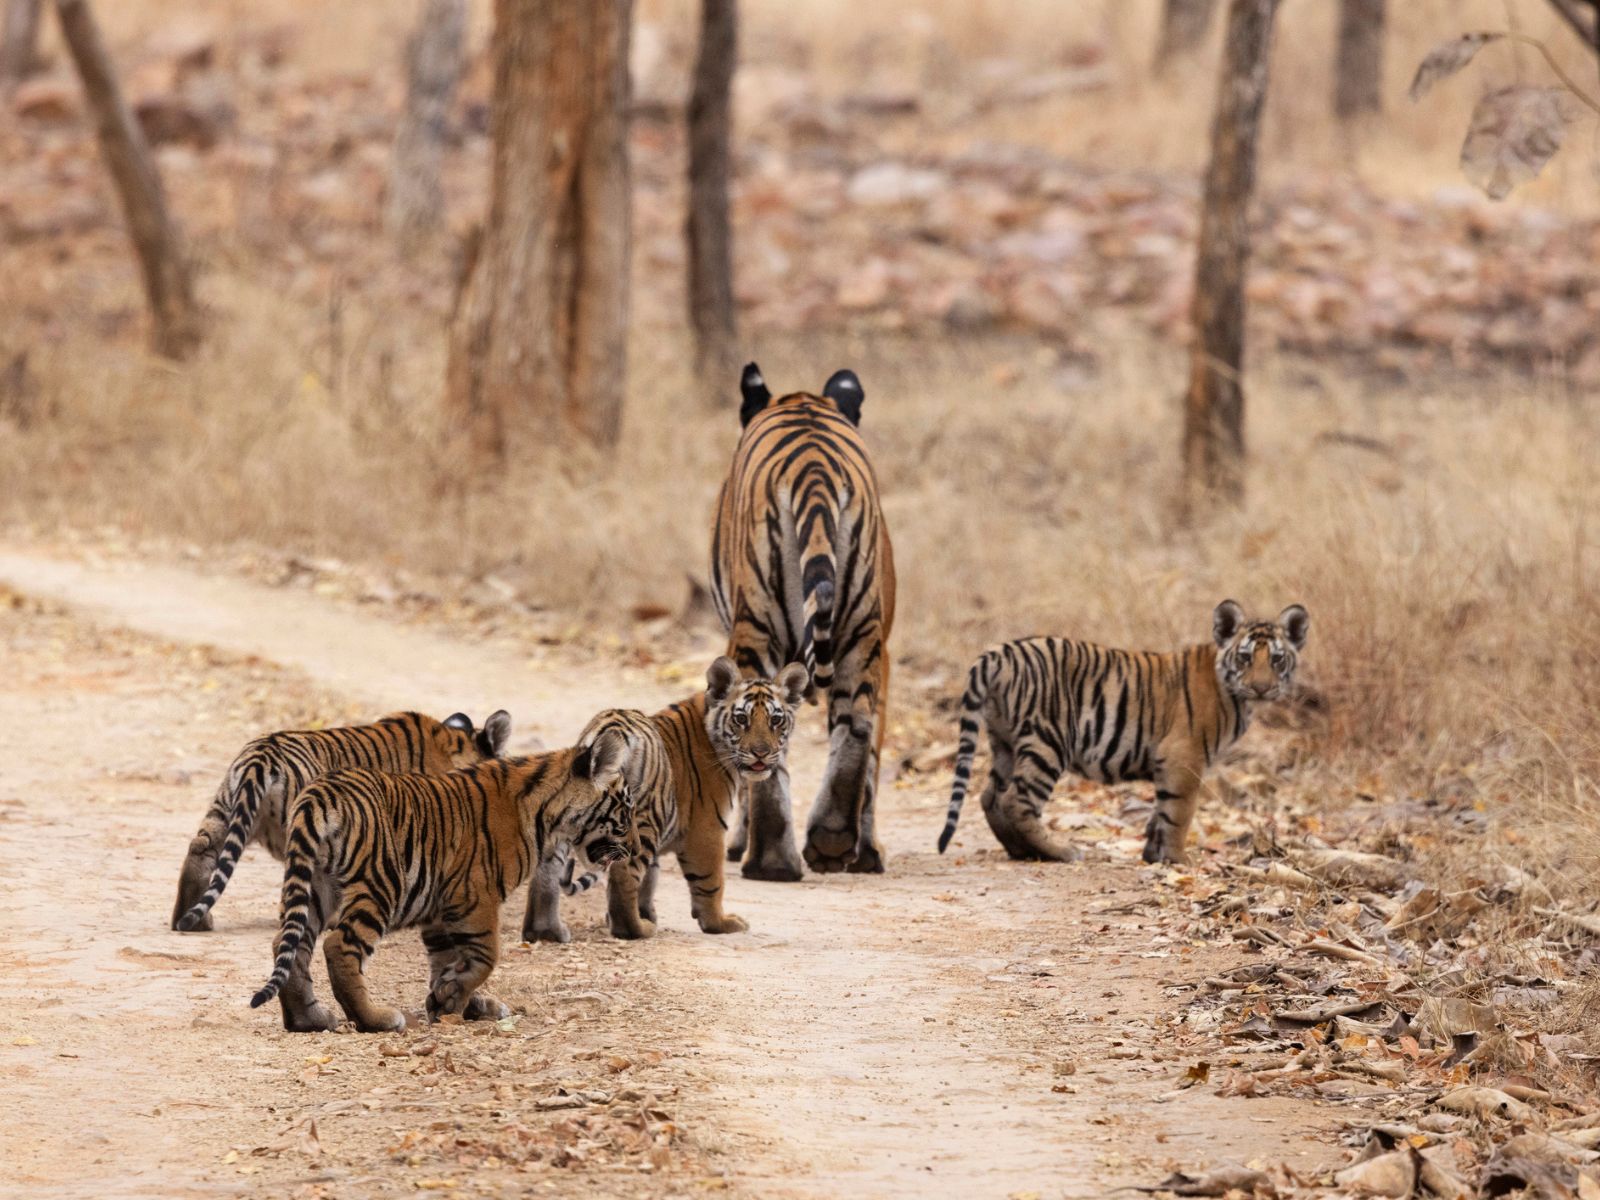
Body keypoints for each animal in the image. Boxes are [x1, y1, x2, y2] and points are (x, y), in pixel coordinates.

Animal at [249, 729, 630, 1036]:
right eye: (626, 808)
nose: (629, 850)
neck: (548, 814)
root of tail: (319, 793)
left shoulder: (439, 911)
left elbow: (449, 961)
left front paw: (454, 1000)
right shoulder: (477, 897)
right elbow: (485, 956)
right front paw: (452, 1003)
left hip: (315, 886)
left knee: (289, 944)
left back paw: (308, 1020)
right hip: (380, 885)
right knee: (338, 947)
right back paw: (376, 1019)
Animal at [528, 659, 812, 947]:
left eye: (776, 720)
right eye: (741, 719)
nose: (761, 754)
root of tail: (613, 725)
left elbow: (650, 878)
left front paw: (647, 912)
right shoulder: (707, 828)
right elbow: (711, 880)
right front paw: (719, 923)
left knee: (546, 871)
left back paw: (543, 932)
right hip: (642, 821)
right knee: (624, 875)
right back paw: (635, 929)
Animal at [710, 361, 896, 876]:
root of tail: (813, 468)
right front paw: (867, 853)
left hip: (755, 627)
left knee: (762, 740)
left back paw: (770, 859)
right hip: (861, 631)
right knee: (858, 726)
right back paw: (830, 842)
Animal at [934, 604, 1312, 870]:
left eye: (1277, 659)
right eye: (1245, 658)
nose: (1261, 688)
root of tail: (998, 652)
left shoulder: (1168, 764)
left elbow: (1160, 812)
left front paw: (1153, 854)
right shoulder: (1184, 757)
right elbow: (1180, 812)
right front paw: (1178, 860)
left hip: (1005, 741)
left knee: (990, 796)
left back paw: (1021, 850)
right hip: (1049, 741)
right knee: (1016, 800)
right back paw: (1061, 851)